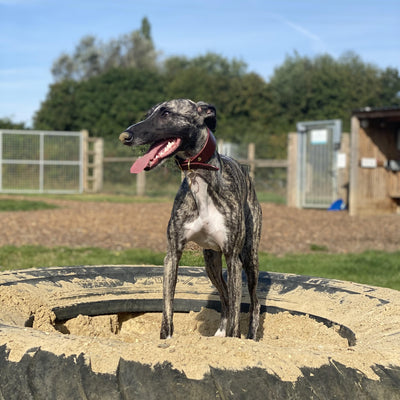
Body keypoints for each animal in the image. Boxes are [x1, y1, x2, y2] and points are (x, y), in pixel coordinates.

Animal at [119, 98, 262, 340]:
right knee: (224, 296)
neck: (200, 183)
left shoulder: (233, 257)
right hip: (211, 261)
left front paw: (234, 340)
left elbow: (236, 314)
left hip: (249, 256)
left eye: (166, 113)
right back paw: (219, 333)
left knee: (254, 302)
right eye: (148, 114)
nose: (125, 136)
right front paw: (166, 339)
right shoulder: (172, 253)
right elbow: (167, 306)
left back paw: (250, 336)